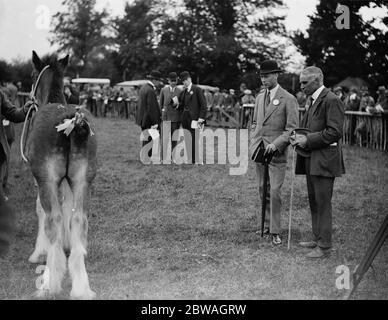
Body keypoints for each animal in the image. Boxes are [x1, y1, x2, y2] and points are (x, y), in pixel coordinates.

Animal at [23, 51, 97, 298]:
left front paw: (39, 252)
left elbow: (41, 211)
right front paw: (68, 244)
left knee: (52, 219)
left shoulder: (42, 179)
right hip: (83, 180)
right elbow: (68, 209)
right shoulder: (68, 181)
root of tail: (73, 122)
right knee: (79, 218)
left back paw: (49, 282)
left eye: (32, 74)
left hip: (47, 180)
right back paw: (81, 287)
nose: (29, 98)